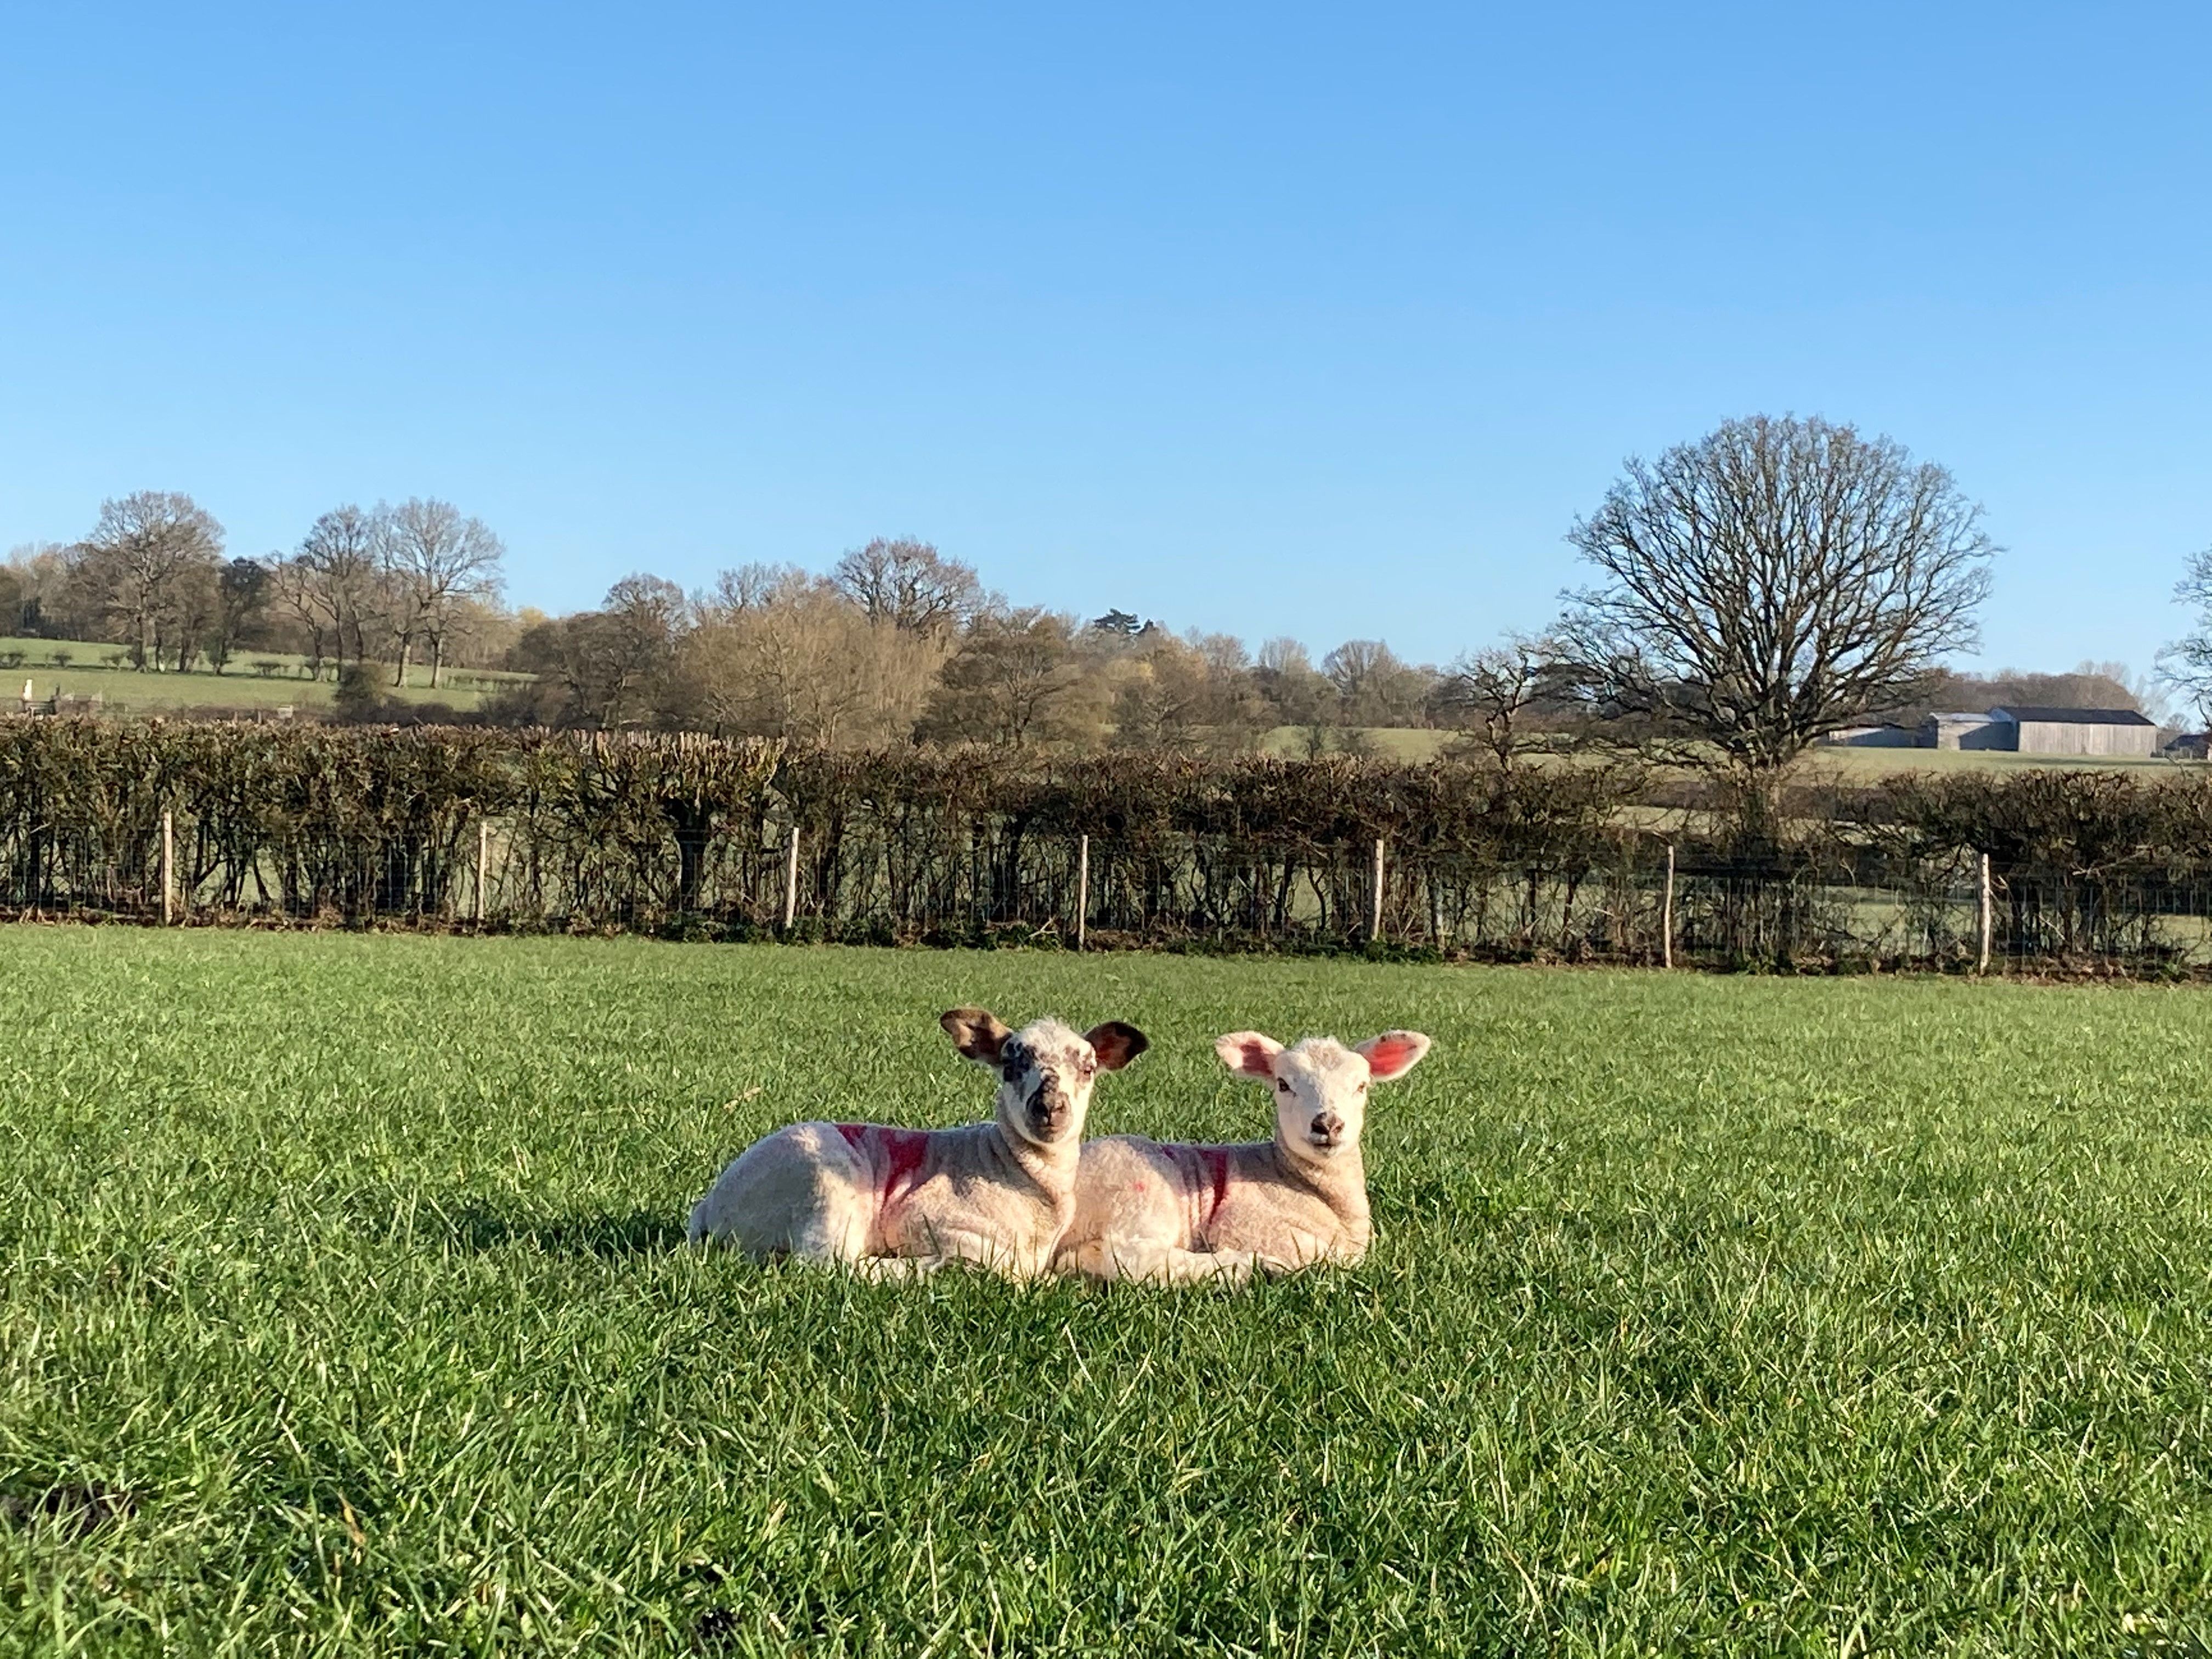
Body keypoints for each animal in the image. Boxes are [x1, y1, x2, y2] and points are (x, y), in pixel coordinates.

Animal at [687, 1008, 1149, 1280]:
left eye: (1088, 1068)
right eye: (1009, 1065)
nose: (1049, 1107)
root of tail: (710, 1204)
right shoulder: (936, 1222)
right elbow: (1007, 1266)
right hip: (823, 1185)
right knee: (828, 1264)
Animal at [1055, 1028, 1431, 1285]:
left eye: (1362, 1086)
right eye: (1283, 1085)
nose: (1327, 1124)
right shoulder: (1242, 1223)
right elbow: (1333, 1256)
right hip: (1139, 1195)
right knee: (1124, 1258)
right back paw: (1248, 1266)